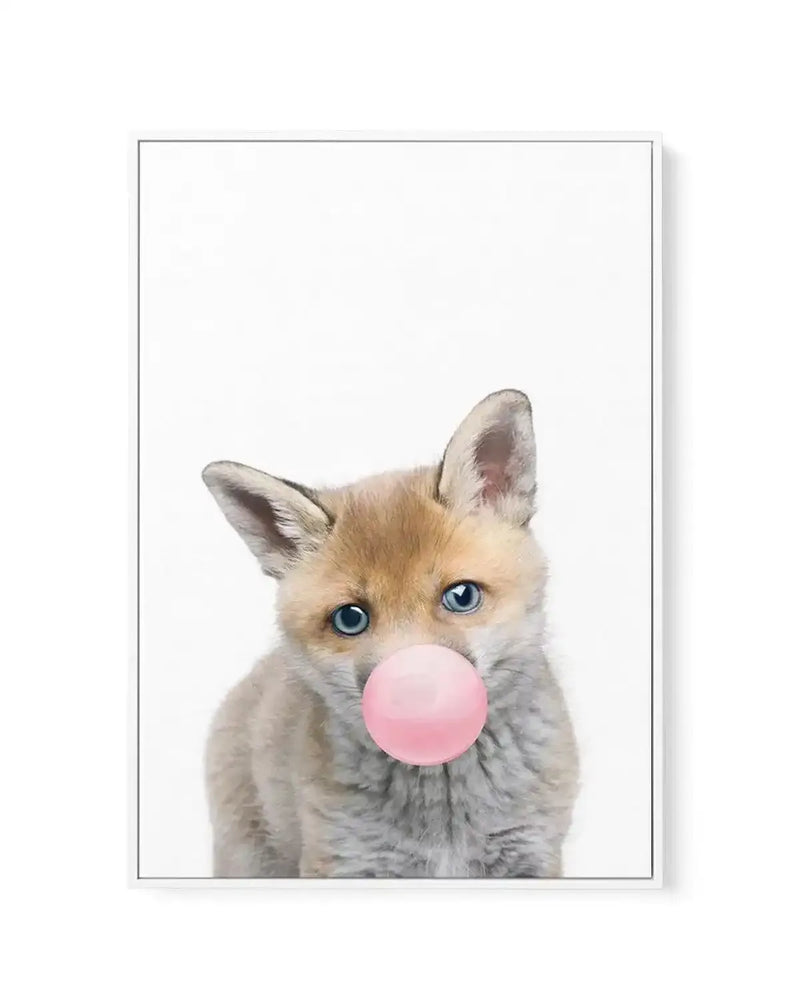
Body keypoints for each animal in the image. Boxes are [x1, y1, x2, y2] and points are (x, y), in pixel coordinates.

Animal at [202, 389, 578, 878]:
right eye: (350, 618)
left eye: (461, 596)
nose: (414, 695)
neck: (445, 823)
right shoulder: (344, 861)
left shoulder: (531, 854)